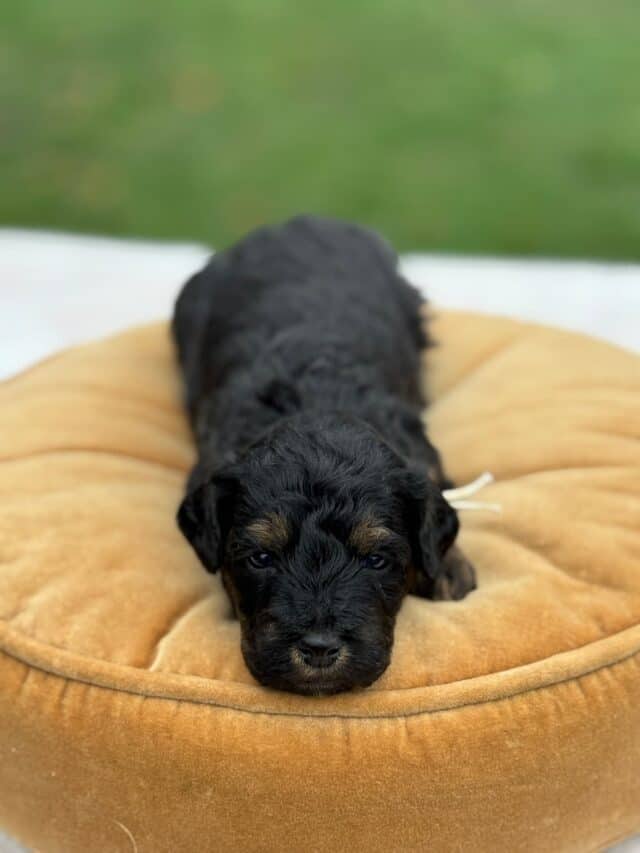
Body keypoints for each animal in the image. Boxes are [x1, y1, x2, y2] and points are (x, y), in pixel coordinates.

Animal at [172, 213, 472, 692]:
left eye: (376, 559)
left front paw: (447, 567)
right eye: (261, 558)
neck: (314, 397)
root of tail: (302, 221)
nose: (319, 648)